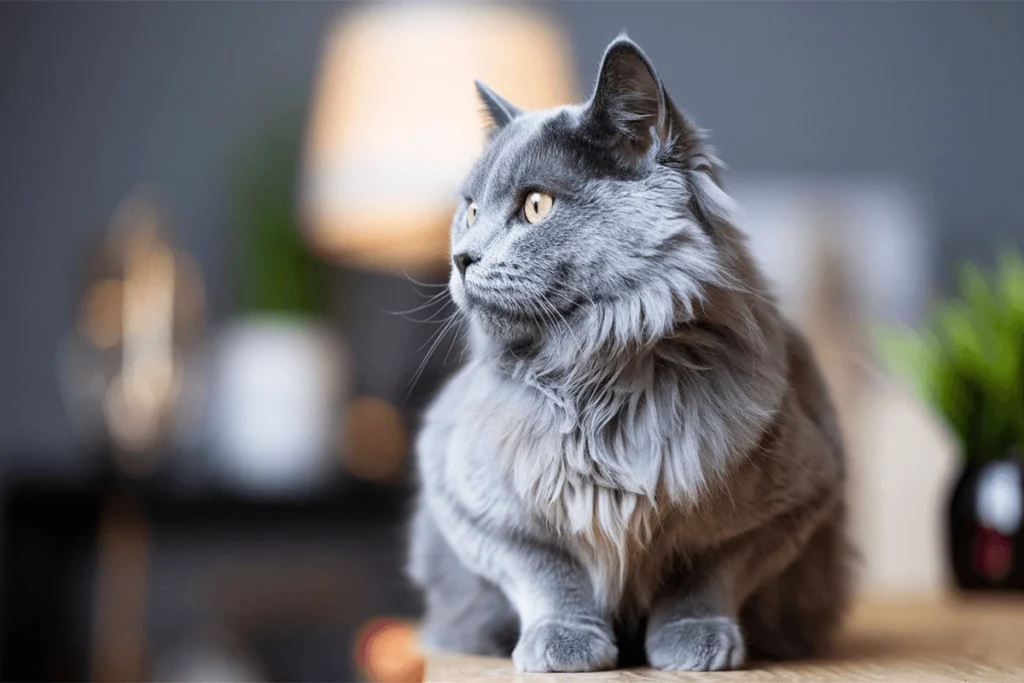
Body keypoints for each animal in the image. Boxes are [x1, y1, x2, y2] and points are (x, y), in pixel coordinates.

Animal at [405, 34, 847, 671]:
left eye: (536, 206)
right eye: (469, 211)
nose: (462, 258)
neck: (600, 377)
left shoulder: (797, 497)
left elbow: (706, 570)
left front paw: (692, 638)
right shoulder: (463, 494)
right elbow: (547, 570)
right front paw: (564, 642)